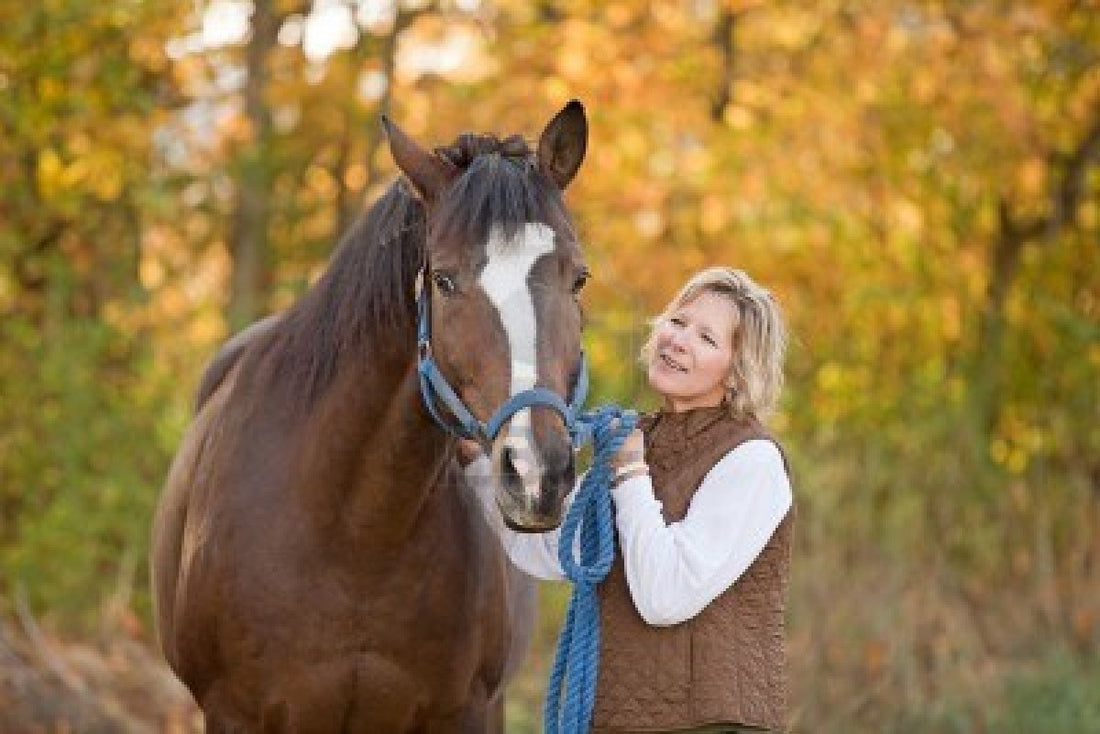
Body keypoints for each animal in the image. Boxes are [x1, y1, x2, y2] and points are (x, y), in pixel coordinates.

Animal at [151, 101, 591, 732]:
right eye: (444, 280)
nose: (537, 475)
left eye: (578, 278)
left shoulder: (468, 713)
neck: (356, 532)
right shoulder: (233, 712)